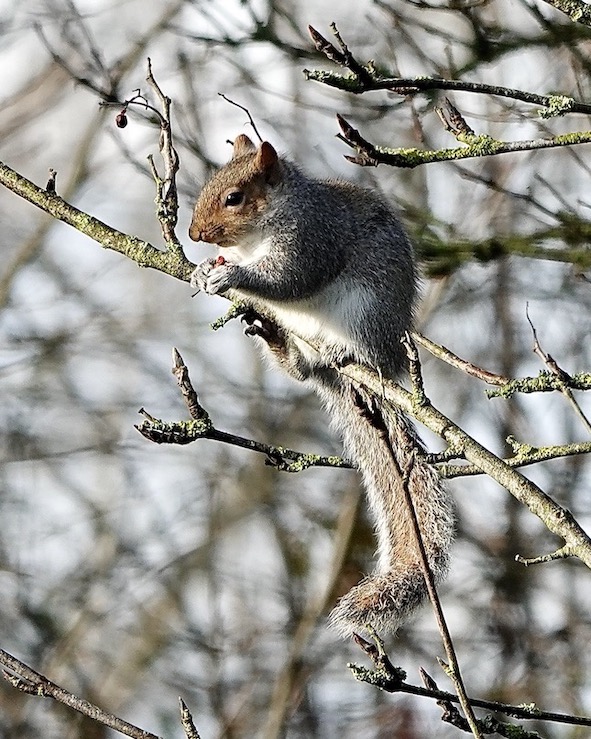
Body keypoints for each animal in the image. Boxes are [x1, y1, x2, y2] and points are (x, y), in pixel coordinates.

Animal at [188, 134, 454, 638]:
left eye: (234, 198)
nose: (194, 235)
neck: (258, 236)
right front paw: (200, 269)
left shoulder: (311, 239)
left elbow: (290, 279)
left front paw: (232, 275)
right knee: (300, 371)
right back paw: (281, 348)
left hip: (366, 314)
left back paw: (340, 353)